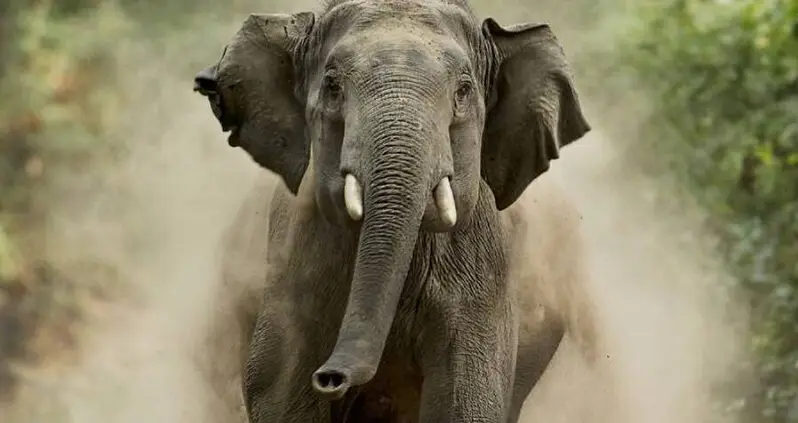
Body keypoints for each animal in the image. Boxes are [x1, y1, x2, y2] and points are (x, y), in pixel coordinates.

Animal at [193, 0, 594, 421]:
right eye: (332, 86)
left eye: (464, 90)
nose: (330, 378)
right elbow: (279, 392)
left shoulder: (482, 266)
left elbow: (468, 402)